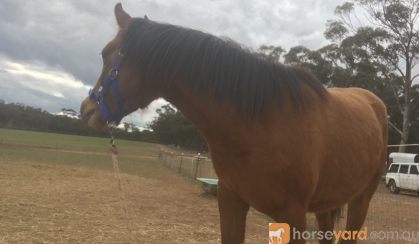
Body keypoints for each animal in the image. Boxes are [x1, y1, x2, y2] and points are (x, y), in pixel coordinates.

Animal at [80, 3, 388, 242]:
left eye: (105, 53)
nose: (86, 110)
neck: (258, 125)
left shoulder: (293, 215)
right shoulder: (231, 201)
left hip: (361, 200)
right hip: (326, 205)